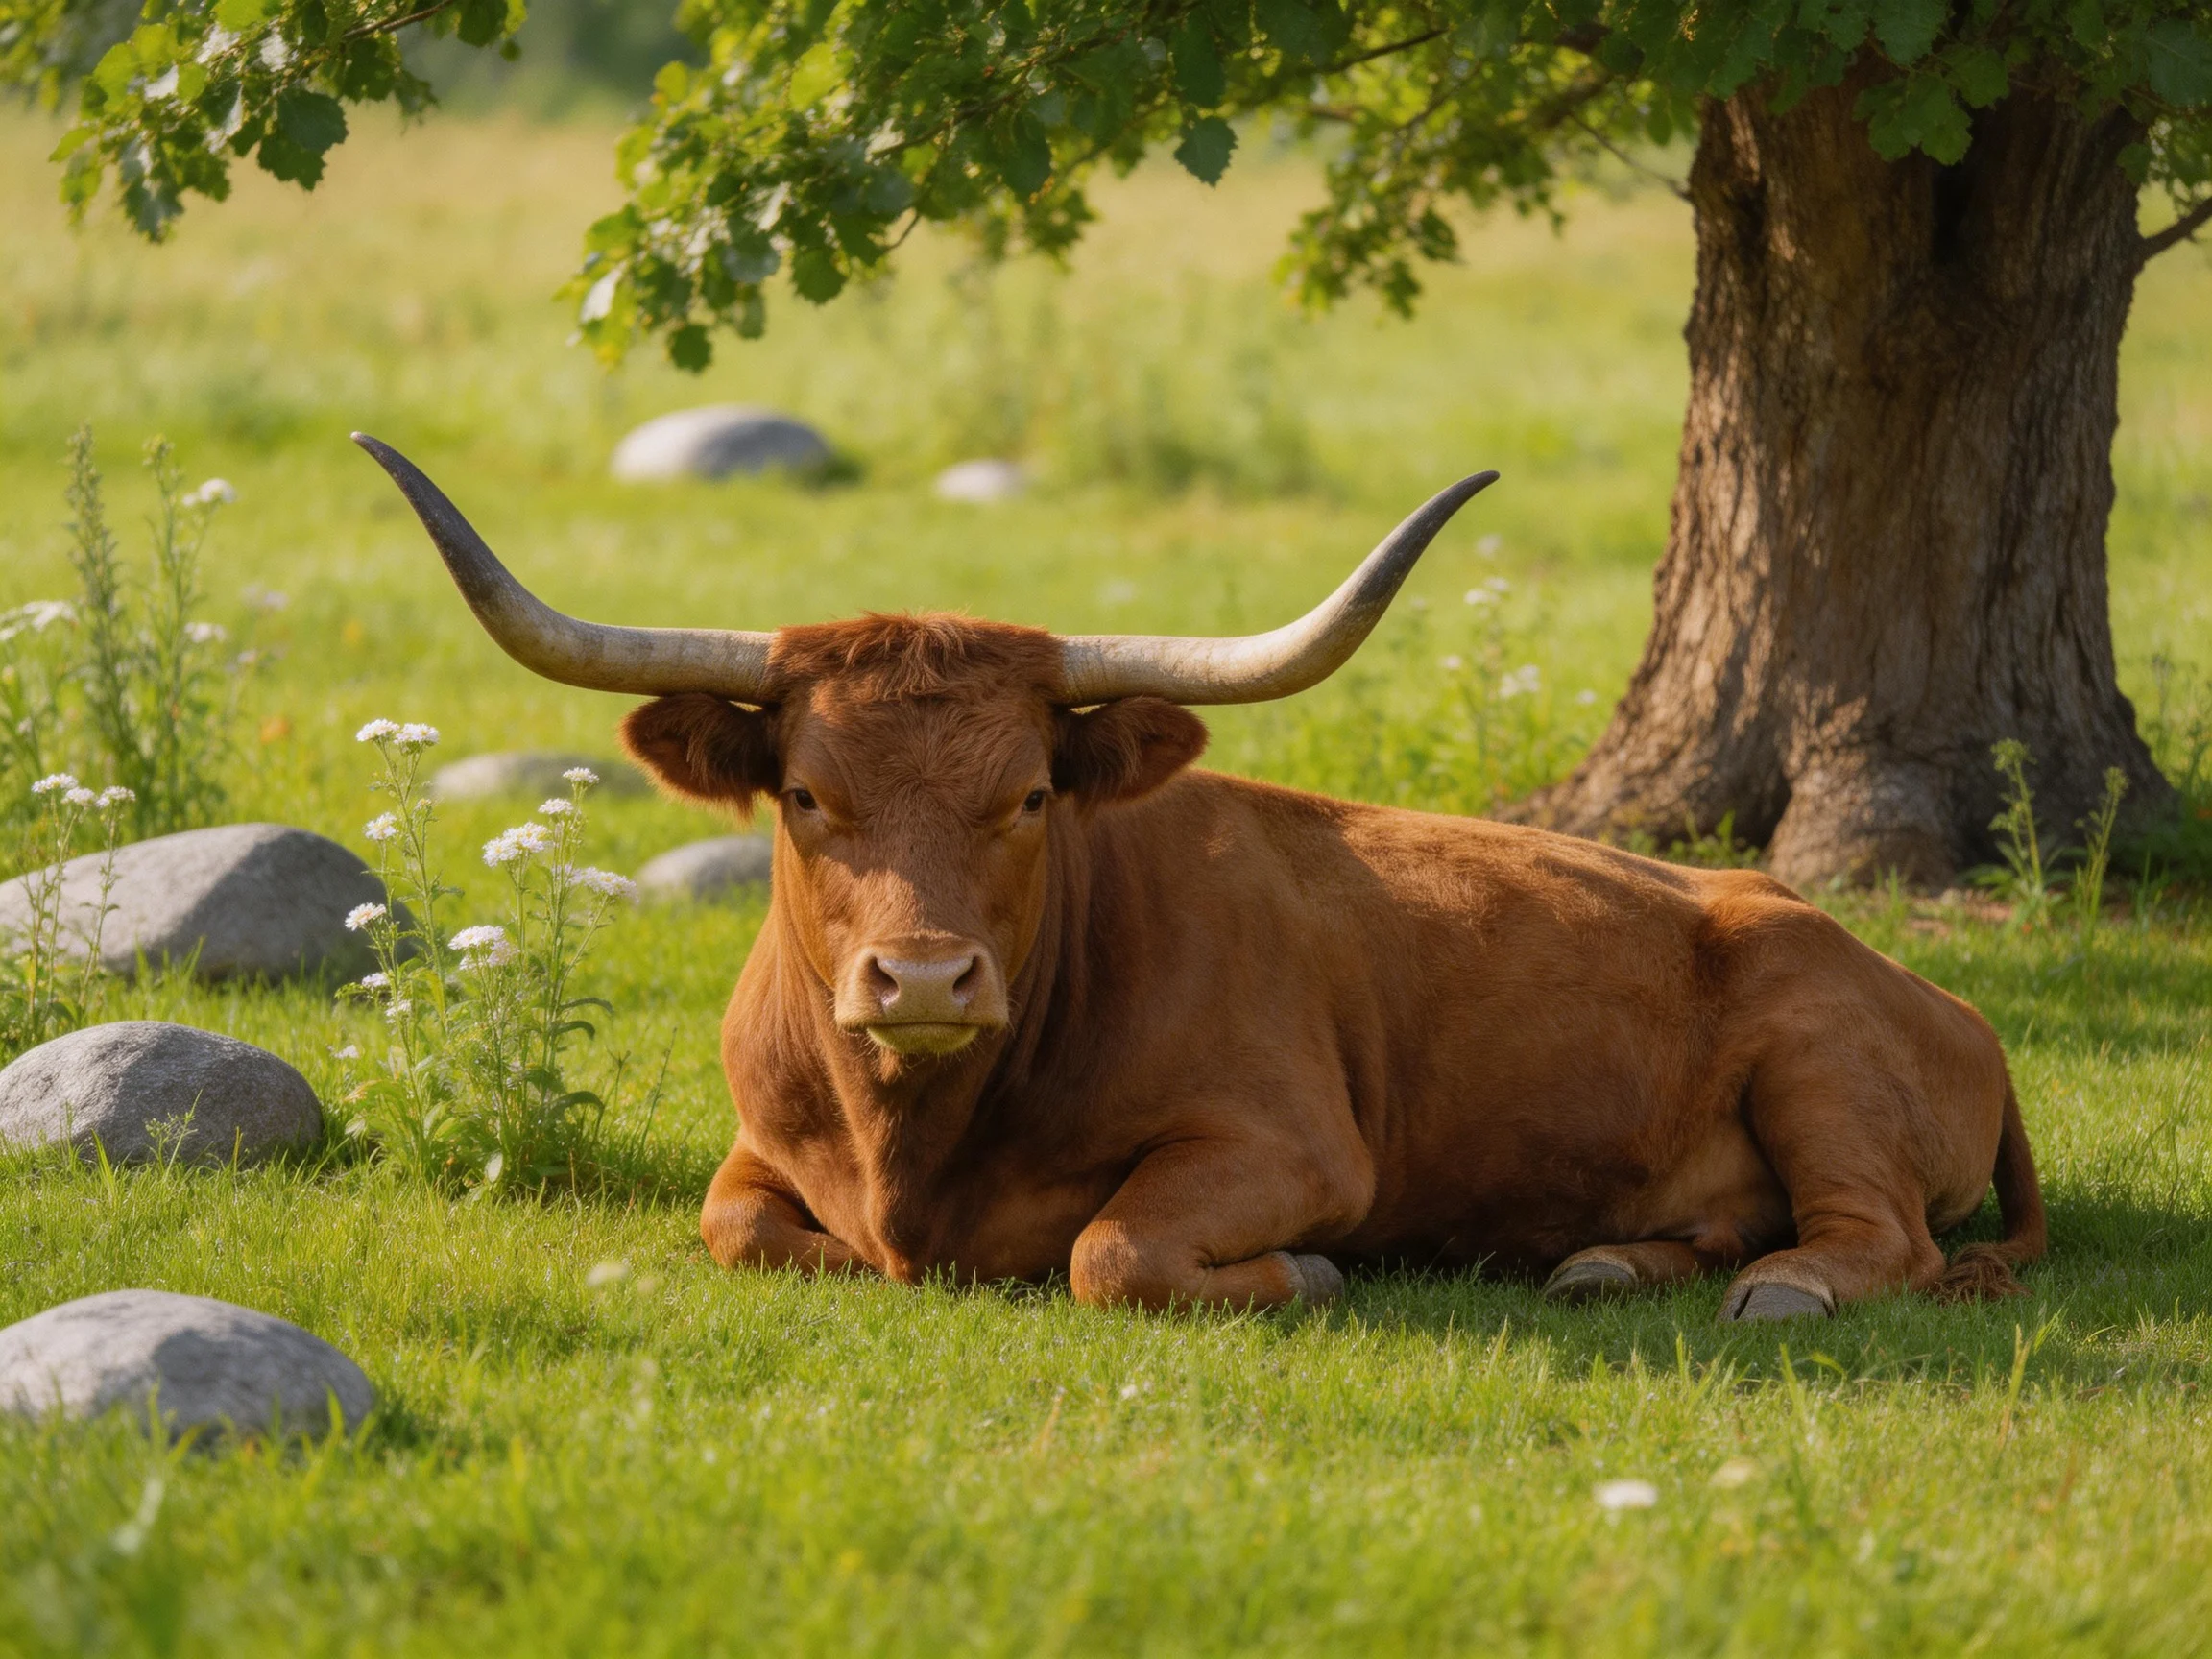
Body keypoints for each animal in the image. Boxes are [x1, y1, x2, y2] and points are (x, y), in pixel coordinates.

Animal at [356, 434, 2045, 1320]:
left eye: (1032, 794)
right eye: (808, 795)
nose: (922, 979)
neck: (916, 1145)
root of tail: (1945, 996)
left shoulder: (1289, 1143)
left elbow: (1111, 1251)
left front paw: (1305, 1270)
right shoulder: (754, 1159)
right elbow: (745, 1230)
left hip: (1822, 1055)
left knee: (1879, 1239)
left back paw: (1781, 1288)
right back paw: (1605, 1262)